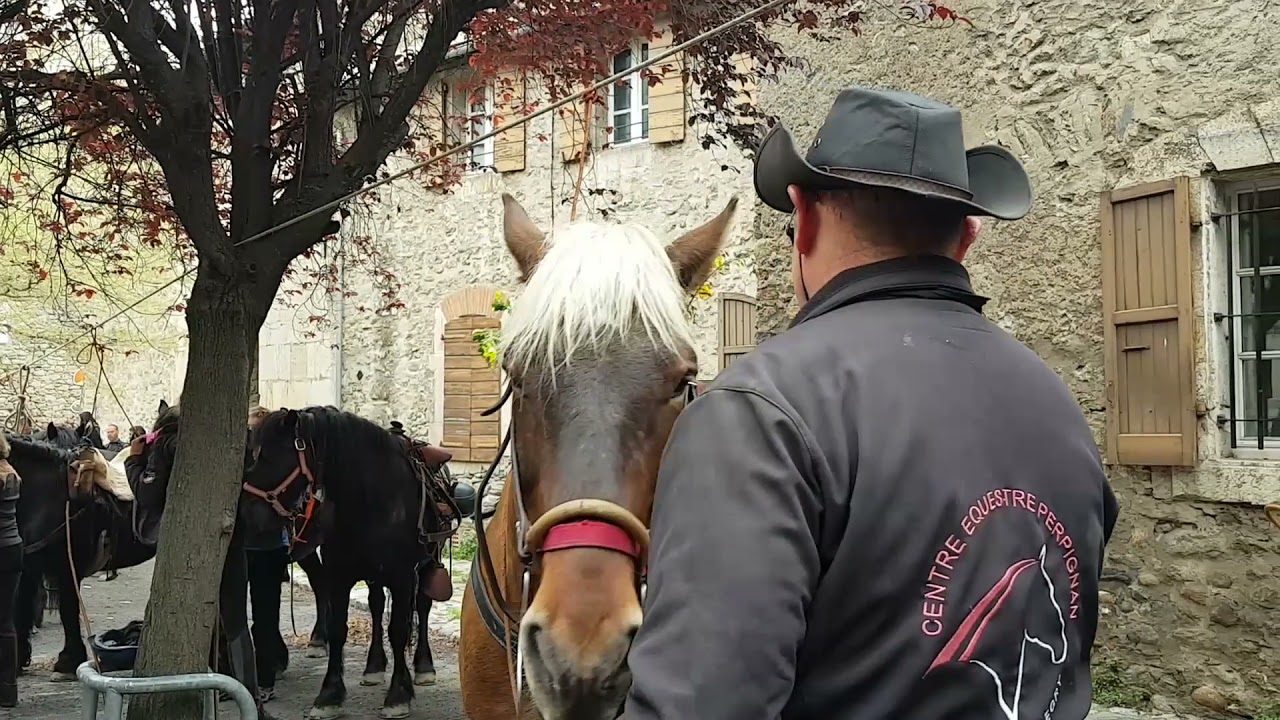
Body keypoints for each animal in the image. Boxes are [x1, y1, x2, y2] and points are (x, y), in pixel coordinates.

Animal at [239, 406, 462, 719]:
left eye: (269, 457)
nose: (245, 518)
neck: (372, 500)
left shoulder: (404, 576)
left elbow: (399, 630)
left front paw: (398, 694)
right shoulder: (339, 575)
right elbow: (338, 630)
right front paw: (329, 695)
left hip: (429, 561)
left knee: (423, 606)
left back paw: (423, 666)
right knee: (376, 606)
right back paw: (373, 667)